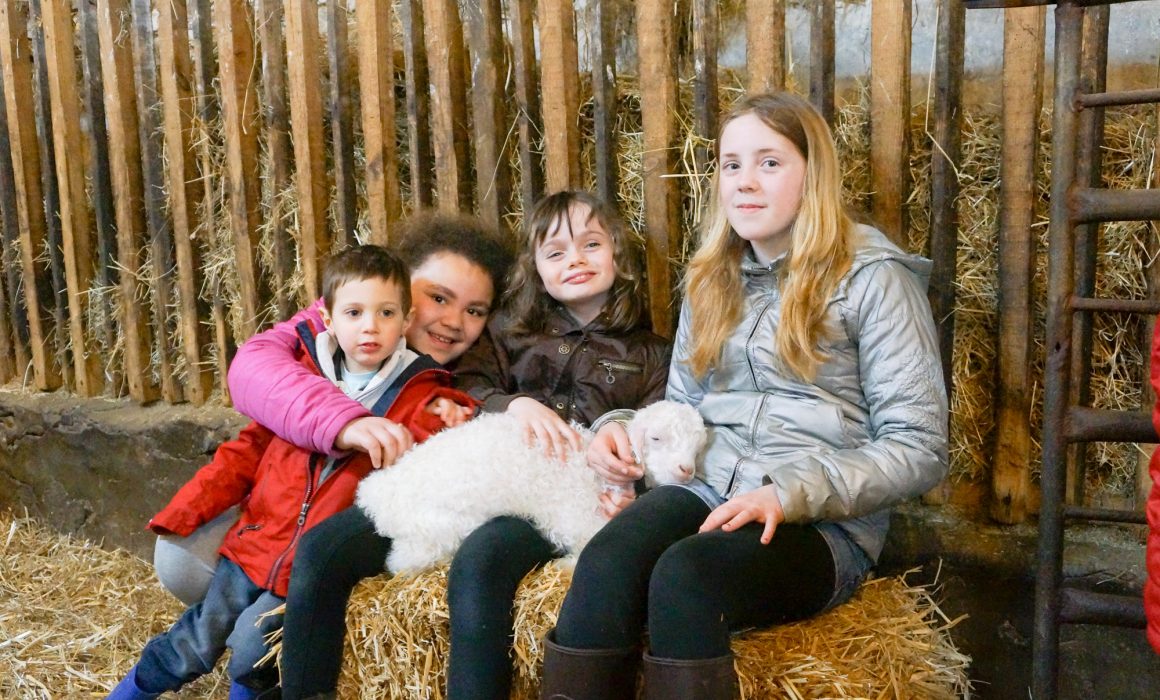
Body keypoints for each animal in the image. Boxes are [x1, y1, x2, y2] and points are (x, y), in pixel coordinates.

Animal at [354, 400, 708, 575]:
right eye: (656, 438)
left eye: (698, 443)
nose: (686, 470)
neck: (591, 467)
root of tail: (379, 495)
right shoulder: (576, 516)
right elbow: (585, 547)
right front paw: (565, 566)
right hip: (435, 529)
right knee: (400, 563)